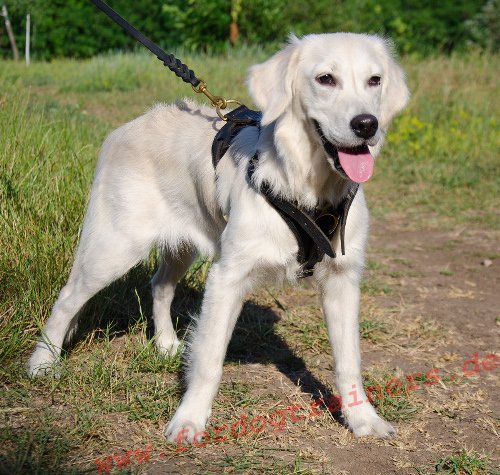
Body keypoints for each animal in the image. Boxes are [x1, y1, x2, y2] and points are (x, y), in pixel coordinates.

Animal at [28, 33, 410, 442]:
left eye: (374, 80)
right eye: (325, 78)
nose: (366, 124)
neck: (309, 189)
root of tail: (126, 128)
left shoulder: (343, 279)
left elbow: (349, 360)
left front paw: (363, 417)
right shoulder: (228, 276)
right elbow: (210, 358)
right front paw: (189, 419)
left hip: (180, 246)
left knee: (160, 285)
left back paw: (165, 343)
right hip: (115, 247)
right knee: (68, 297)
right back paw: (43, 362)